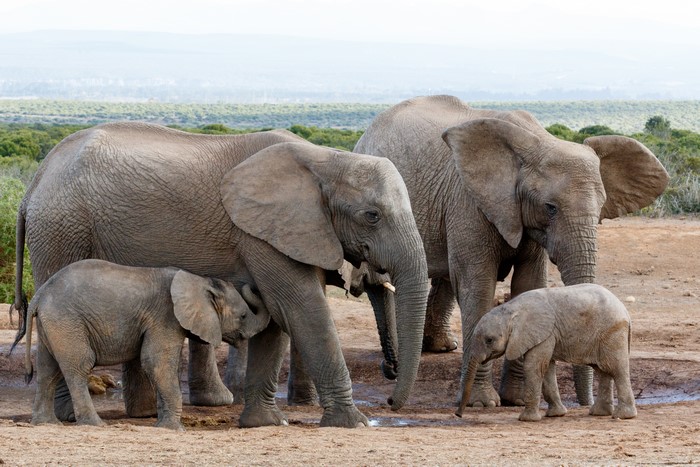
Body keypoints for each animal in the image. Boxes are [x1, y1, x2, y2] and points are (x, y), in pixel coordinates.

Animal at [11, 259, 270, 430]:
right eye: (243, 316)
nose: (252, 284)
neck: (198, 280)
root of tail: (39, 295)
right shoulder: (165, 315)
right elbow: (156, 362)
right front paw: (174, 429)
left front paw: (163, 425)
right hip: (66, 321)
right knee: (79, 367)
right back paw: (95, 424)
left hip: (53, 324)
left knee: (48, 369)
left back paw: (46, 423)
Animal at [353, 95, 669, 408]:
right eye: (550, 208)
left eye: (601, 208)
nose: (585, 404)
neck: (538, 141)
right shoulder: (467, 202)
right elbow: (478, 288)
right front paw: (482, 404)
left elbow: (528, 285)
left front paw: (516, 400)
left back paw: (439, 348)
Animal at [456, 284, 637, 422]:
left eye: (489, 340)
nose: (458, 415)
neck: (511, 310)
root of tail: (625, 311)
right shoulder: (545, 335)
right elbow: (547, 368)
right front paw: (555, 415)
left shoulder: (543, 333)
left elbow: (534, 367)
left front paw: (527, 419)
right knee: (603, 370)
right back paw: (599, 413)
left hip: (612, 331)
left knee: (616, 369)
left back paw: (623, 416)